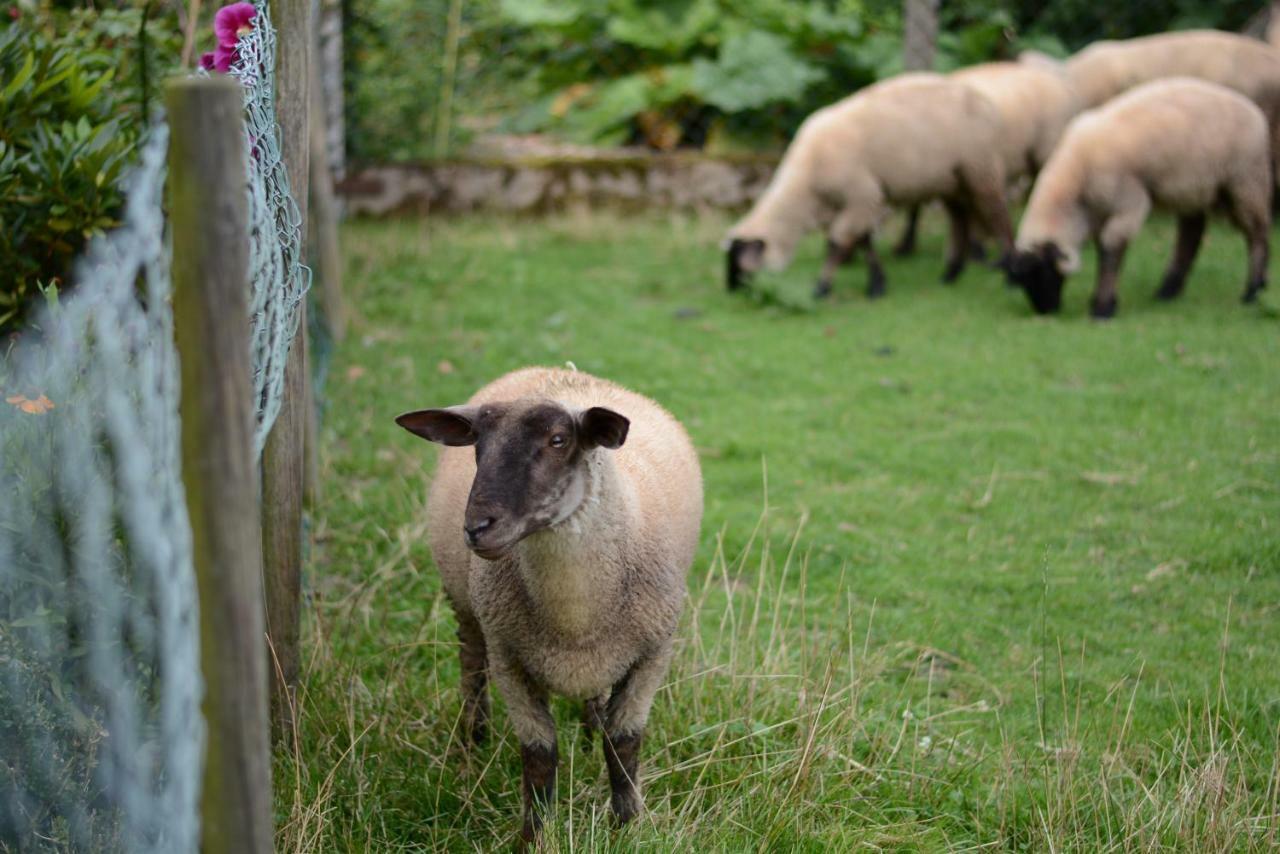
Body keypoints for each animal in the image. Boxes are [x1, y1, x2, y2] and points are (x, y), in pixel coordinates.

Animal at [396, 366, 706, 839]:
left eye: (559, 440)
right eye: (477, 445)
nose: (477, 528)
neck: (573, 616)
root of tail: (557, 371)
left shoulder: (653, 654)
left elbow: (623, 743)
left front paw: (626, 825)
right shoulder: (510, 659)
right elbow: (539, 757)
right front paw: (535, 835)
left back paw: (589, 730)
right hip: (466, 609)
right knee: (472, 668)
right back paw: (472, 743)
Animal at [727, 72, 1013, 300]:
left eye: (738, 265)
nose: (732, 292)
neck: (806, 184)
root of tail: (986, 102)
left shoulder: (862, 195)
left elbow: (837, 242)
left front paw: (822, 288)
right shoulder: (854, 201)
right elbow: (863, 241)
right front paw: (877, 284)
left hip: (980, 166)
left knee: (997, 213)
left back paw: (1008, 268)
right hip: (950, 178)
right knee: (960, 217)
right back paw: (951, 274)